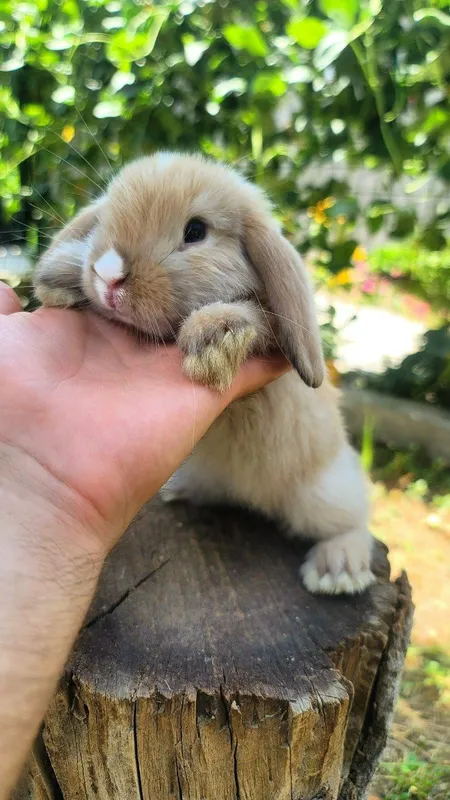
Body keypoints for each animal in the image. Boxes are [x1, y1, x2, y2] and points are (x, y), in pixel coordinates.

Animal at [34, 151, 375, 595]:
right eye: (105, 217)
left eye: (196, 231)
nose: (108, 275)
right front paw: (60, 273)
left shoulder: (271, 333)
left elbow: (254, 319)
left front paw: (210, 340)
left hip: (324, 491)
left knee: (354, 518)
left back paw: (338, 570)